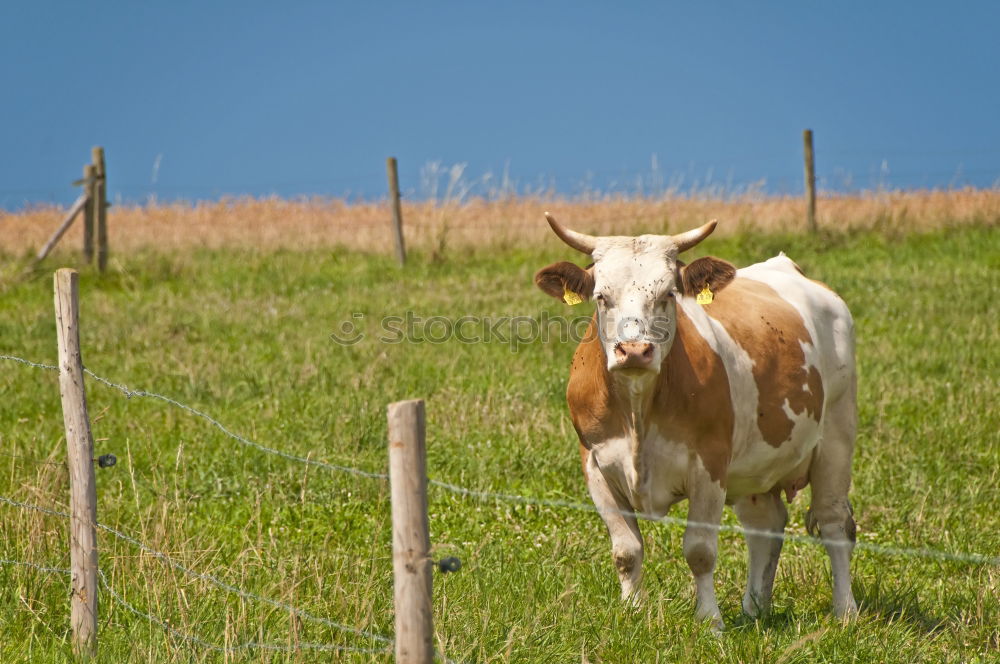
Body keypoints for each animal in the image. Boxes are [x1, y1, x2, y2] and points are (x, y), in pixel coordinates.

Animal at [536, 215, 856, 632]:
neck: (638, 409)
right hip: (755, 467)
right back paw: (754, 608)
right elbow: (626, 550)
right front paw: (632, 613)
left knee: (834, 523)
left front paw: (709, 621)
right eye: (602, 296)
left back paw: (845, 610)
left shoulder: (709, 465)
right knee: (764, 526)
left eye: (669, 294)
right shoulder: (595, 465)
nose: (634, 351)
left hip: (836, 434)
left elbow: (700, 551)